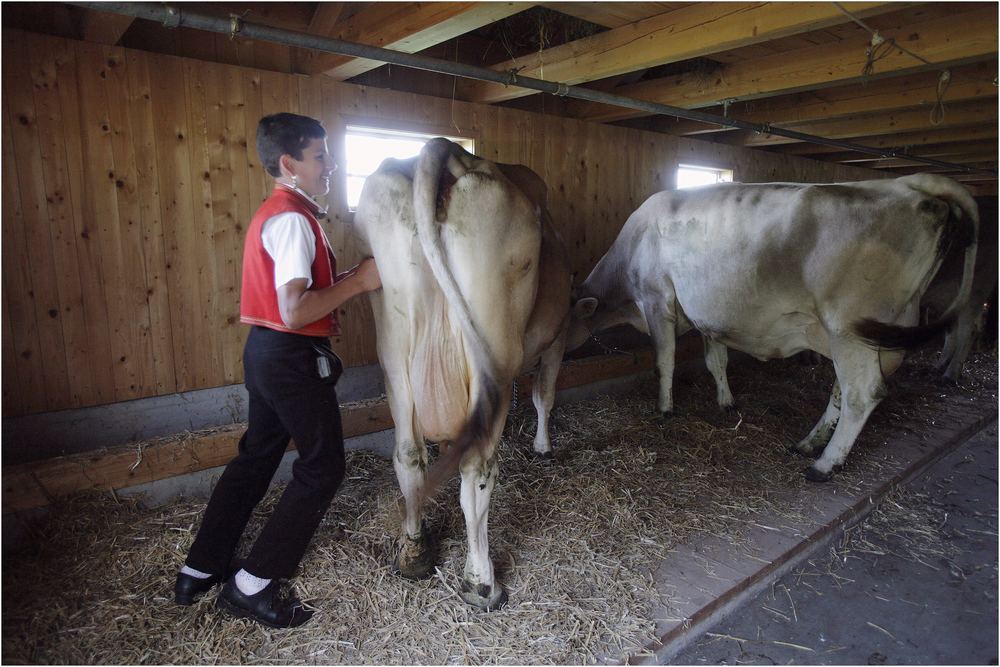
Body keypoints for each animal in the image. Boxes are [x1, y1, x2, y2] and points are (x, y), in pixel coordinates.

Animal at [352, 137, 572, 612]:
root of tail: (448, 149)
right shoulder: (558, 340)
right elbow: (544, 396)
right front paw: (544, 447)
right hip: (493, 354)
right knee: (478, 470)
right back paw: (482, 582)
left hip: (393, 350)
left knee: (408, 453)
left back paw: (414, 551)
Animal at [572, 175, 976, 482]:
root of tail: (904, 183)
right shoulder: (708, 317)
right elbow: (716, 361)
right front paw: (726, 402)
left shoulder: (657, 301)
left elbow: (665, 362)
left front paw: (665, 408)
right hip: (880, 334)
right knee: (842, 390)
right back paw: (809, 443)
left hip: (848, 328)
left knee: (863, 393)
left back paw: (824, 464)